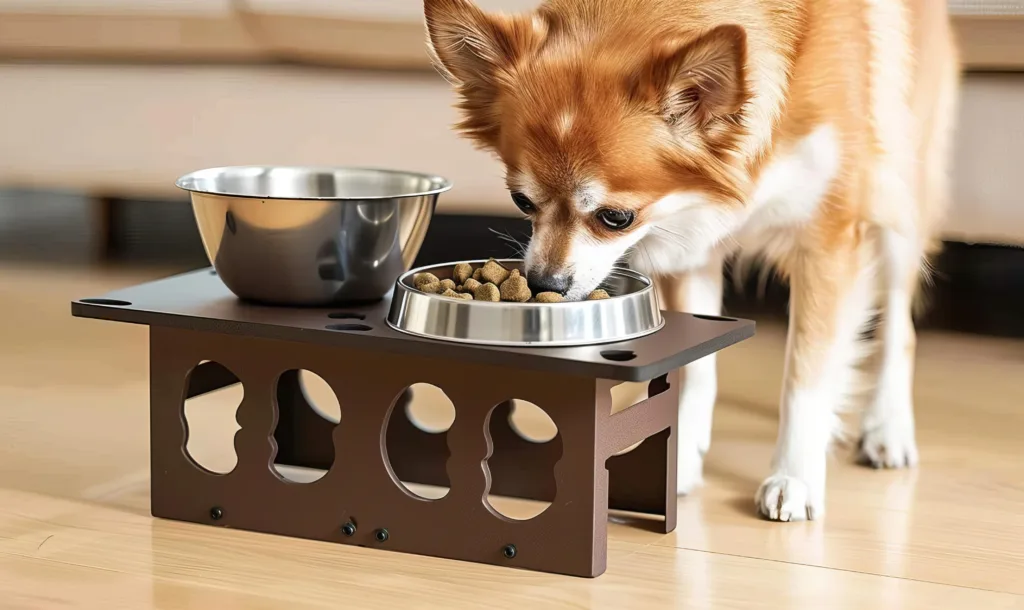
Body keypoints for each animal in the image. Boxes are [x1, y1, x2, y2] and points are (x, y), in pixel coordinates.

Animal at [419, 0, 954, 521]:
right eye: (522, 202)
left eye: (616, 217)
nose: (541, 283)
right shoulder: (690, 242)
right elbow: (695, 361)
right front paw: (675, 462)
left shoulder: (828, 238)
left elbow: (807, 373)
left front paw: (794, 477)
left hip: (900, 203)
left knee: (900, 327)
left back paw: (888, 428)